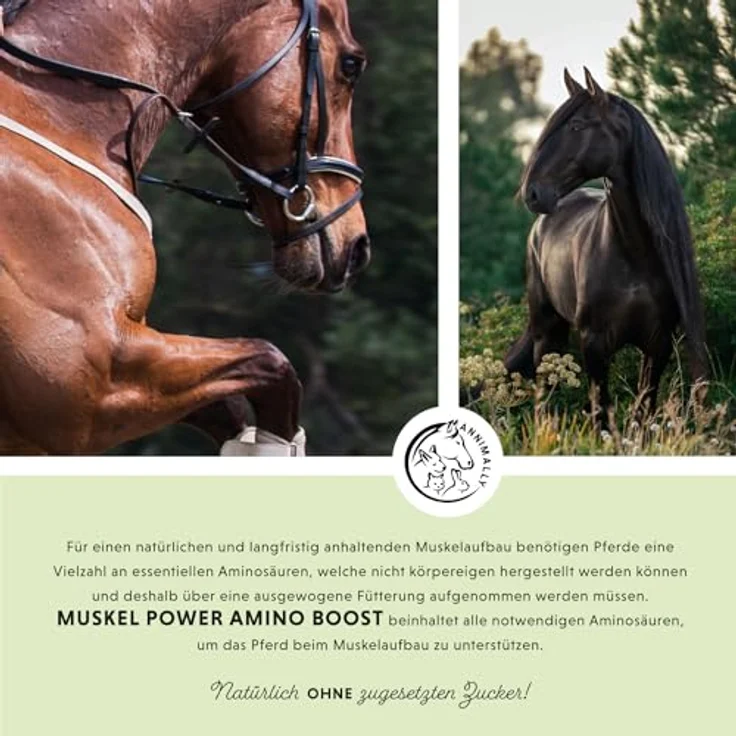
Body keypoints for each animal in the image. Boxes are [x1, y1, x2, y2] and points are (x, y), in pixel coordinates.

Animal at [0, 0, 370, 455]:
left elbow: (235, 405)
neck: (58, 113)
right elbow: (272, 364)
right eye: (351, 65)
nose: (357, 248)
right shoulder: (82, 384)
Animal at [505, 67, 707, 413]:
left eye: (577, 125)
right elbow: (600, 410)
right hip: (546, 331)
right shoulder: (595, 344)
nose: (532, 193)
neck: (634, 254)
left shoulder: (658, 344)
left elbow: (643, 410)